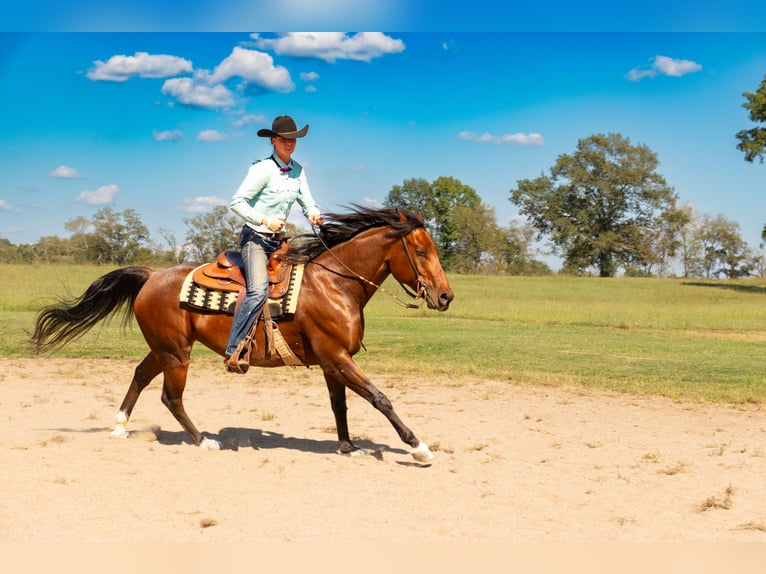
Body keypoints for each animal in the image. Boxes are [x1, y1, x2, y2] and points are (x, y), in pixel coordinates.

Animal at [31, 207, 456, 464]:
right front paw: (419, 447)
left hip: (164, 349)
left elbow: (341, 405)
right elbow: (378, 398)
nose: (445, 296)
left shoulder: (331, 361)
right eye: (420, 251)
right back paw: (204, 440)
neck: (334, 285)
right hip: (176, 353)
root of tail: (151, 276)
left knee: (139, 376)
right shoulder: (337, 356)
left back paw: (119, 428)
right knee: (171, 396)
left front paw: (348, 447)